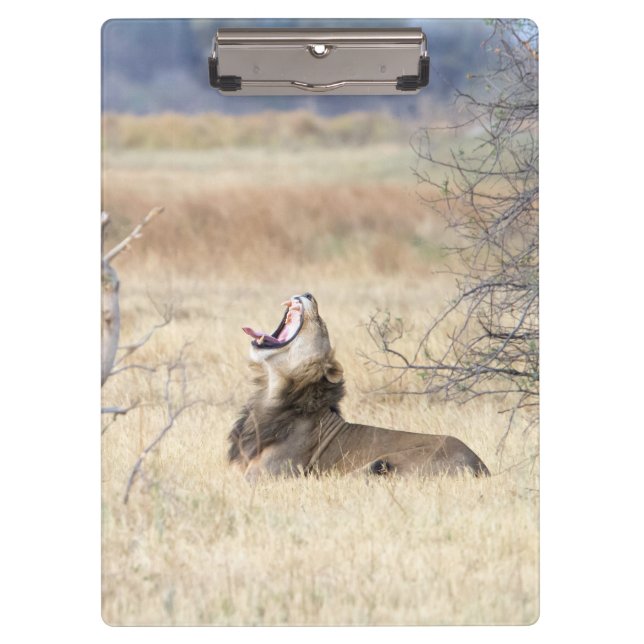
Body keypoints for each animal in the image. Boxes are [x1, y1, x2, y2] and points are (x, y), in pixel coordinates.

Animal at [229, 293, 490, 481]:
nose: (308, 294)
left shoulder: (265, 476)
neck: (271, 393)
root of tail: (481, 467)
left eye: (321, 324)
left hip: (379, 463)